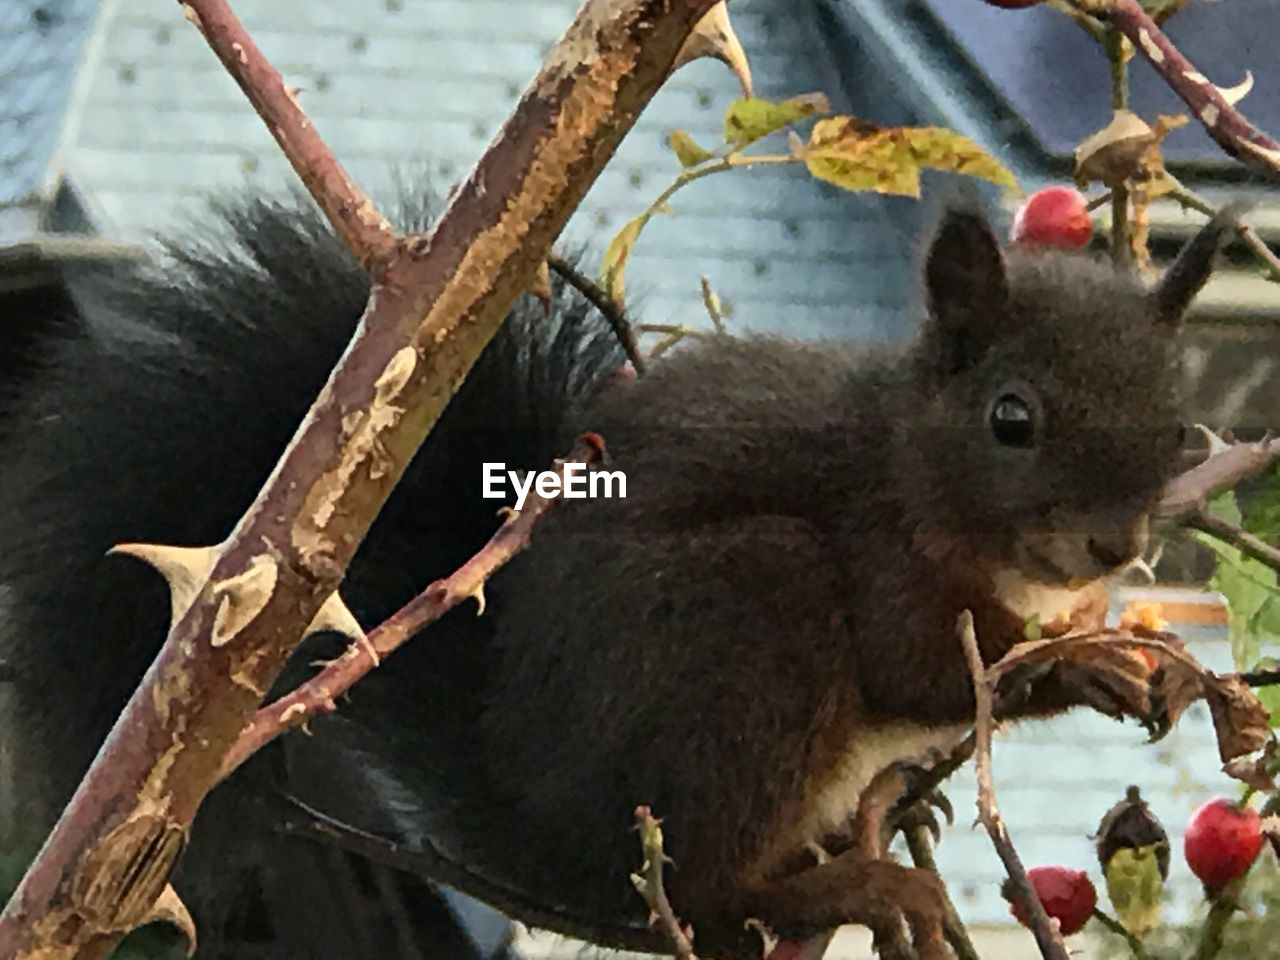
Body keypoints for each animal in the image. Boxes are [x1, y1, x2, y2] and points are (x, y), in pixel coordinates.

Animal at [2, 189, 1228, 960]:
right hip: (746, 622)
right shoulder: (867, 537)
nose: (1114, 547)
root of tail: (551, 827)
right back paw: (846, 883)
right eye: (1011, 418)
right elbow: (926, 671)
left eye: (1181, 427)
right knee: (707, 883)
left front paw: (1140, 644)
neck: (906, 454)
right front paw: (1085, 654)